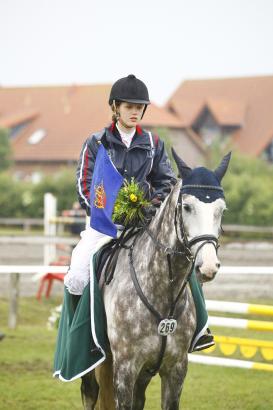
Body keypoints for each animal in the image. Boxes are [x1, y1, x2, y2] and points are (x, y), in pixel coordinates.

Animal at [81, 149, 230, 408]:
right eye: (187, 207)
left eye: (221, 210)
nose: (208, 267)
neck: (162, 290)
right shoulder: (126, 370)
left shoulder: (175, 369)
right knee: (90, 394)